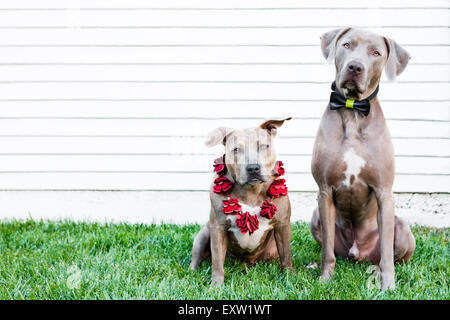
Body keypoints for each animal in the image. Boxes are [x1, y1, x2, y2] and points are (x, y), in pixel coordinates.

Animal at [189, 119, 292, 286]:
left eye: (263, 146)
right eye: (236, 149)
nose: (253, 168)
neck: (251, 191)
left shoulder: (283, 225)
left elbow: (286, 256)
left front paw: (289, 278)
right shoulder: (218, 228)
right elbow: (217, 261)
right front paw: (216, 285)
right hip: (203, 235)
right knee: (196, 258)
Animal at [312, 28, 416, 292]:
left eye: (376, 53)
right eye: (347, 45)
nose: (355, 67)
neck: (353, 110)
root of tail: (357, 254)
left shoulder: (383, 191)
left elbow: (387, 254)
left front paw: (388, 286)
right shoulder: (324, 191)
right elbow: (327, 250)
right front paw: (325, 279)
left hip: (402, 228)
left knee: (390, 255)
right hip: (316, 216)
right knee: (332, 249)